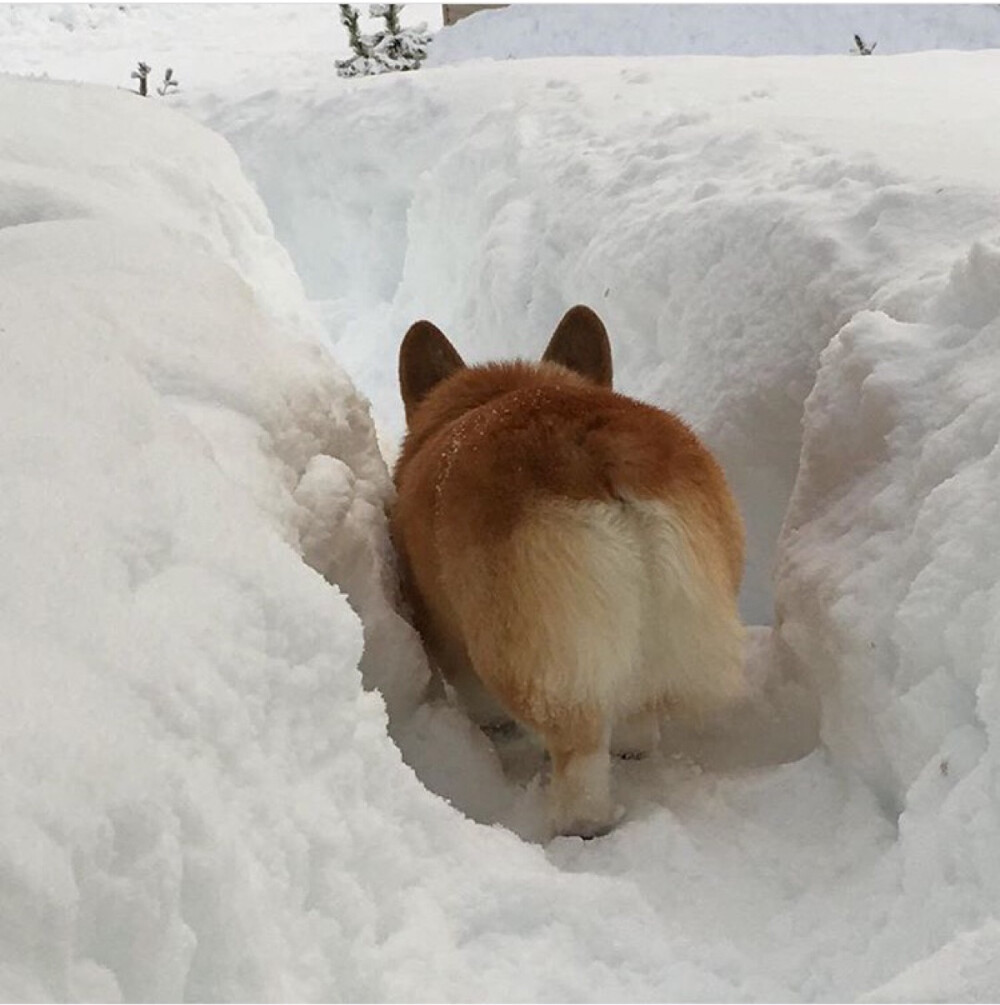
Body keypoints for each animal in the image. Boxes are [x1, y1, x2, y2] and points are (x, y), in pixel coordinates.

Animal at [391, 305, 743, 840]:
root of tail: (595, 450)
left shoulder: (446, 632)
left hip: (528, 655)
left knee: (579, 757)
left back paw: (573, 827)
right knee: (638, 715)